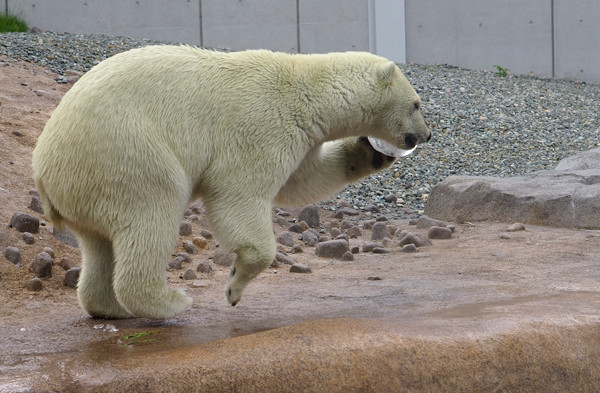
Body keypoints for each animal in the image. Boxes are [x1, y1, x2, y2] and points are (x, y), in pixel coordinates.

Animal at [31, 45, 432, 318]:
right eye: (416, 103)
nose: (426, 135)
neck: (304, 88)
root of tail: (43, 169)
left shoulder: (301, 135)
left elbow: (303, 179)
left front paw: (372, 154)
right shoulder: (263, 125)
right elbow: (238, 193)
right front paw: (235, 286)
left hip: (89, 185)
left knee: (99, 243)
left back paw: (109, 307)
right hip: (124, 153)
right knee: (152, 215)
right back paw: (169, 303)